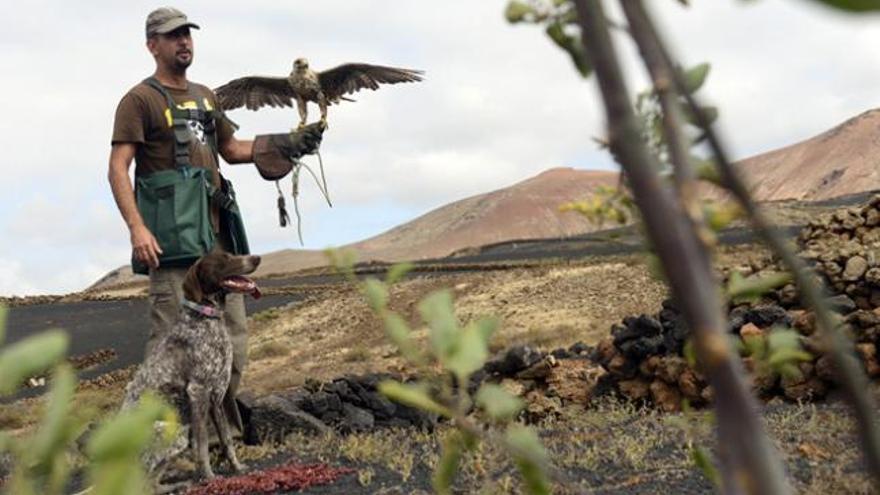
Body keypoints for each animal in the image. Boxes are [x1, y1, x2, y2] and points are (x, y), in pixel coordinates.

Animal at [123, 250, 262, 490]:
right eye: (223, 259)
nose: (257, 258)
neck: (205, 317)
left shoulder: (217, 397)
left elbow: (226, 439)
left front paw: (237, 468)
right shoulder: (198, 392)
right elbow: (202, 444)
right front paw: (209, 478)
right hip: (172, 432)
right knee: (144, 484)